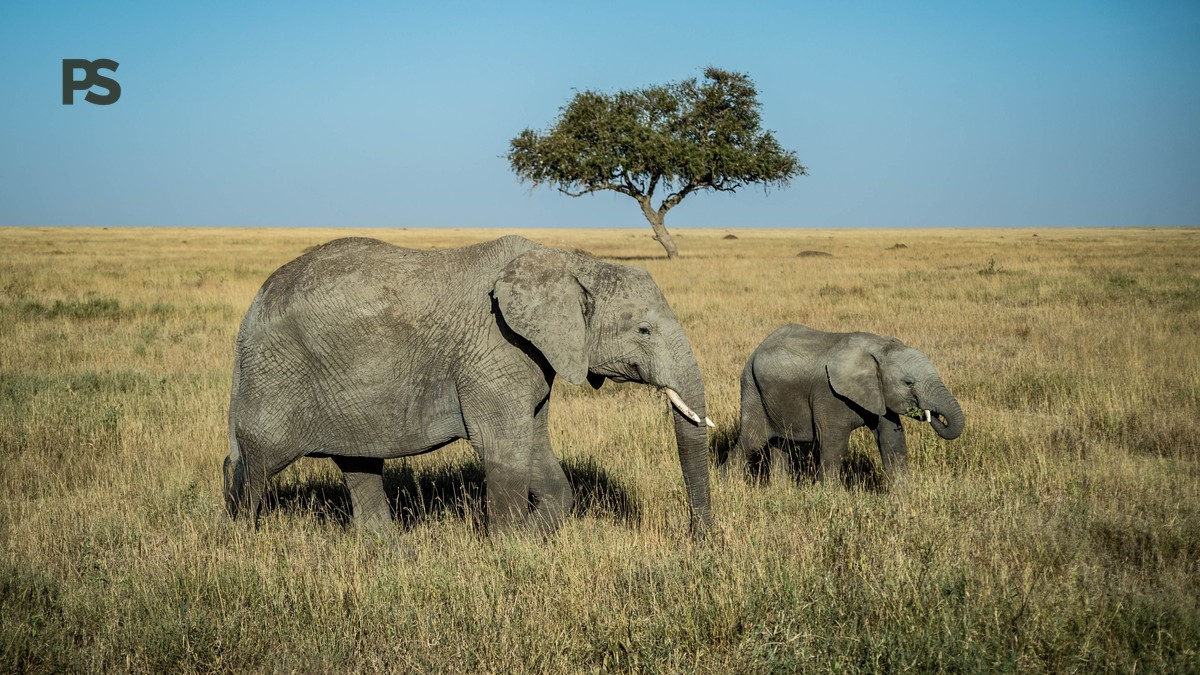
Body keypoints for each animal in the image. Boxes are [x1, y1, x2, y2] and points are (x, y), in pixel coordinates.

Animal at [224, 235, 712, 538]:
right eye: (644, 330)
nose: (698, 540)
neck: (568, 259)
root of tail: (251, 311)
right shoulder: (495, 348)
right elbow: (502, 448)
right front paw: (511, 553)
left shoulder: (530, 357)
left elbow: (536, 446)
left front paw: (530, 539)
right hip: (277, 374)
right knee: (256, 464)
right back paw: (240, 544)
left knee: (358, 465)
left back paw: (393, 554)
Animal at [723, 324, 964, 485]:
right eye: (908, 382)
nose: (929, 413)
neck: (879, 348)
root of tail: (757, 348)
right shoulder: (829, 394)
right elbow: (834, 442)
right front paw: (827, 496)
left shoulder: (877, 393)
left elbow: (891, 439)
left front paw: (902, 498)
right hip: (752, 389)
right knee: (752, 440)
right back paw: (729, 485)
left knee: (780, 443)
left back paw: (780, 490)